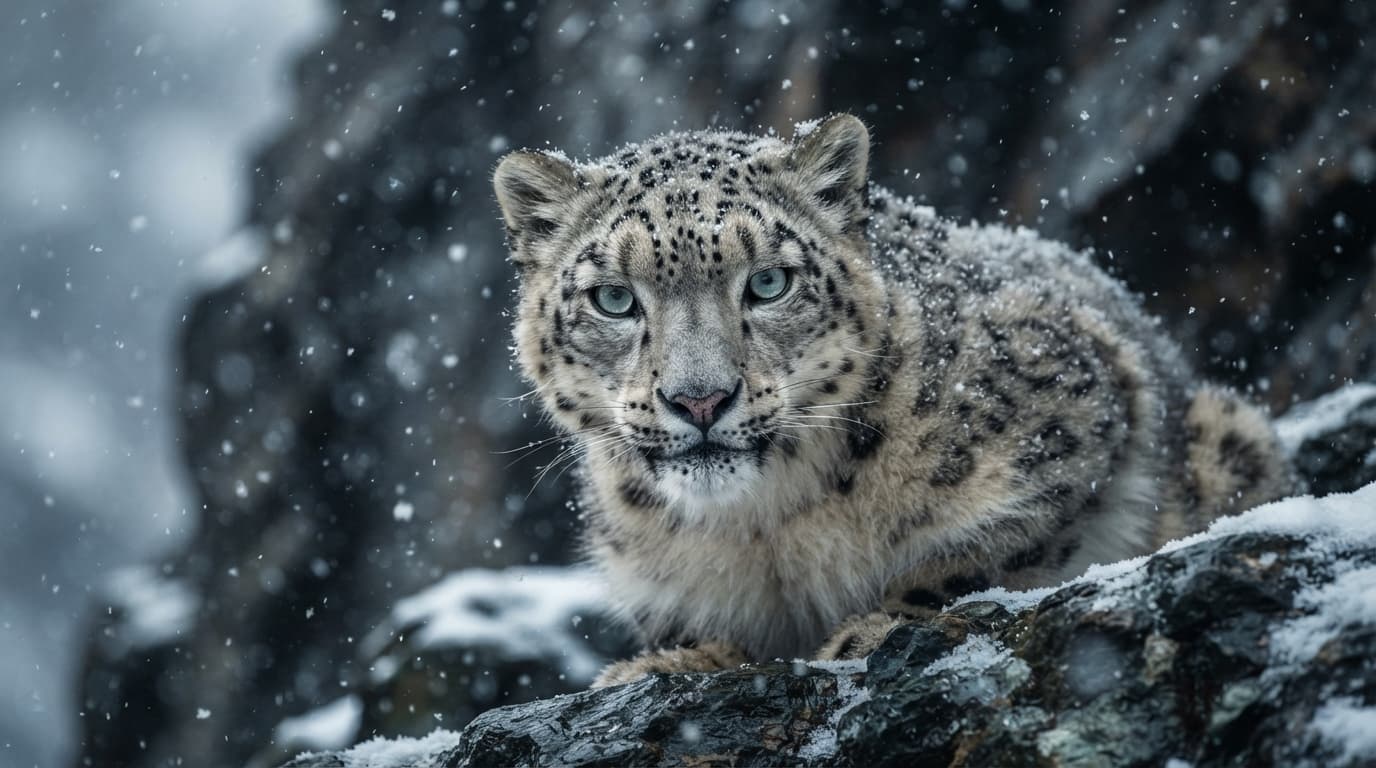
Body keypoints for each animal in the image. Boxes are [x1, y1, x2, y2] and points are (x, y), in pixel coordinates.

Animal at [491, 114, 1294, 686]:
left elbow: (987, 549)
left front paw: (871, 630)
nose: (700, 400)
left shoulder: (1073, 418)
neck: (764, 529)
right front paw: (670, 663)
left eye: (769, 283)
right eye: (614, 299)